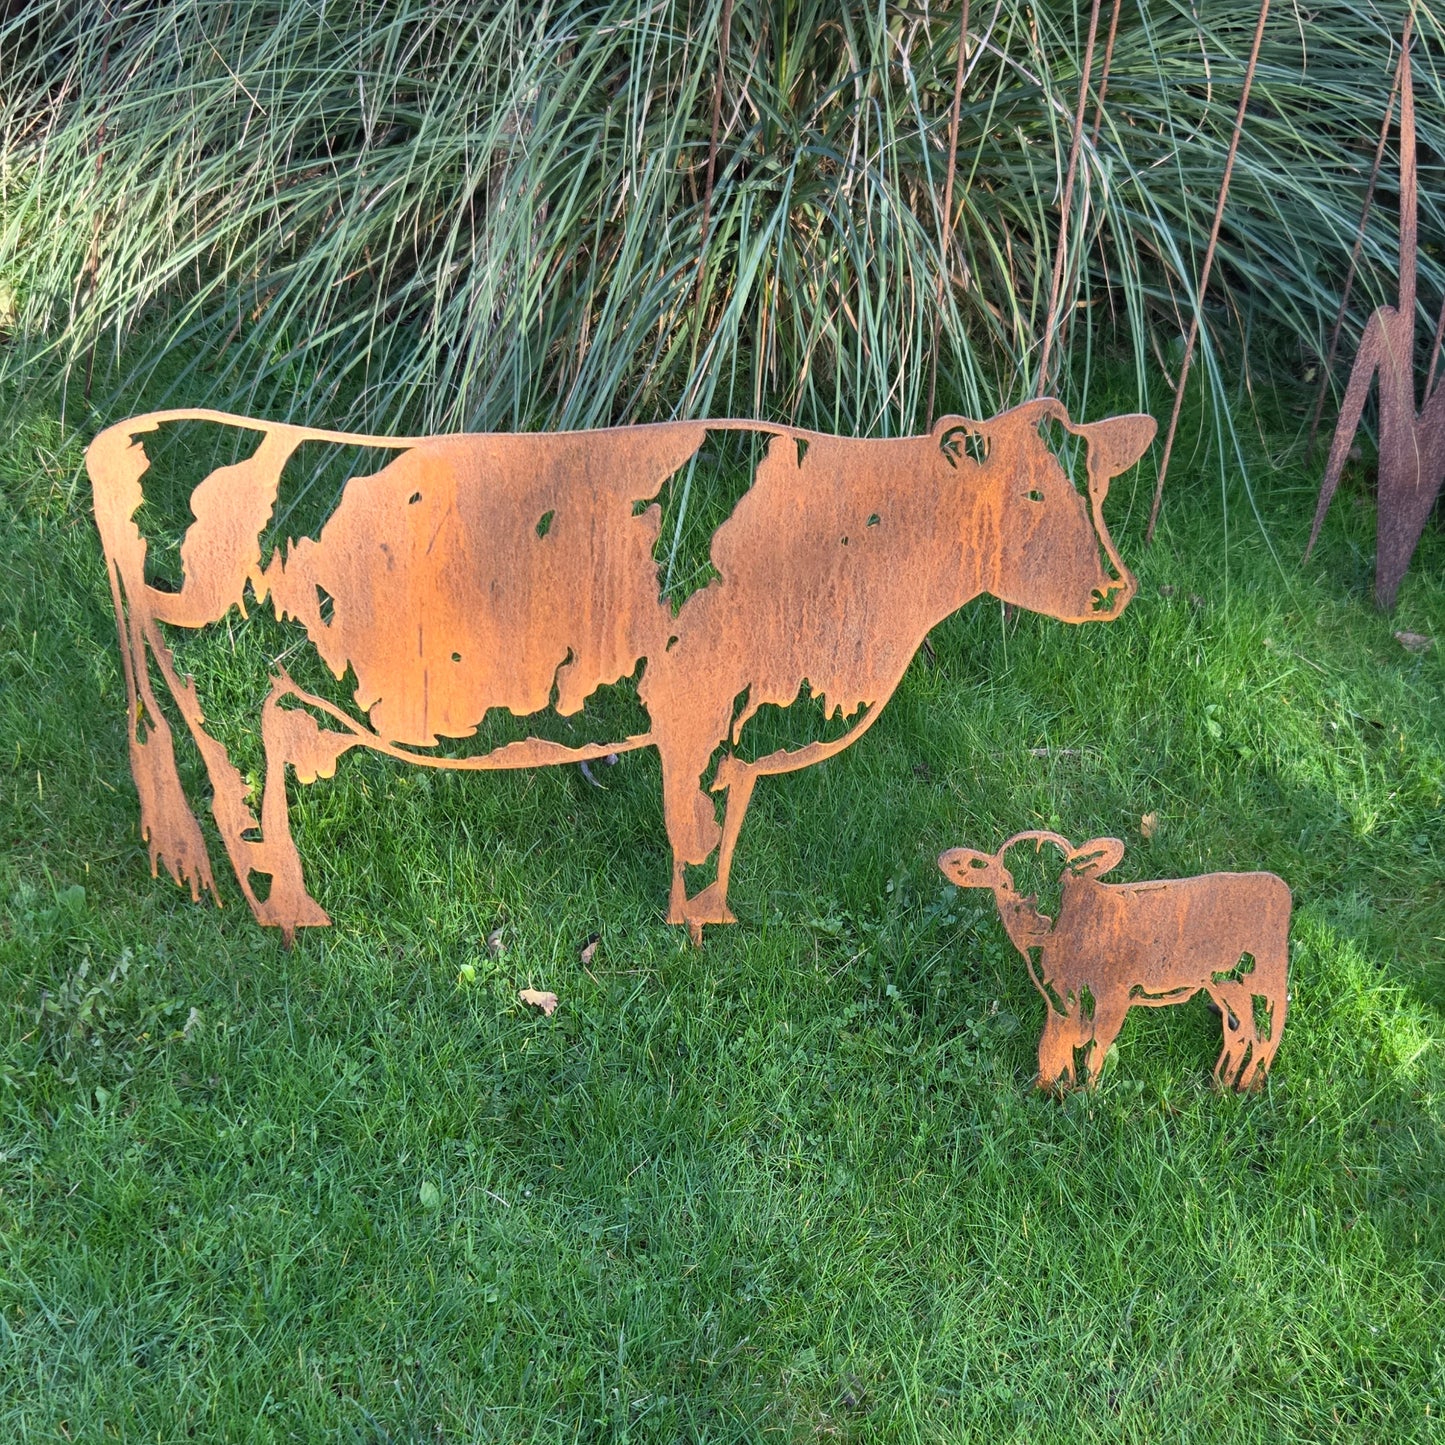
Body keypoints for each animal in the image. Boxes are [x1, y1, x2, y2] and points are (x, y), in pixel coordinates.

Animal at [87, 399, 1154, 944]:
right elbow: (693, 831)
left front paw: (714, 923)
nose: (1116, 589)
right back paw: (297, 921)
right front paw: (691, 937)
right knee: (239, 807)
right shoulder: (694, 707)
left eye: (1097, 488)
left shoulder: (744, 733)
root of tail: (122, 433)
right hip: (223, 684)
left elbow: (723, 830)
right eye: (1028, 494)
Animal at [939, 832, 1290, 1090]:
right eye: (1003, 883)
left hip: (1265, 979)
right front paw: (1051, 1089)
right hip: (1227, 983)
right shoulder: (1057, 997)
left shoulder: (1114, 996)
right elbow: (1055, 1042)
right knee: (1243, 1033)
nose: (1034, 917)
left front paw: (1088, 1096)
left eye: (1063, 880)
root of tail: (1276, 883)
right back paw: (1225, 1085)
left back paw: (1249, 1087)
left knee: (1268, 1035)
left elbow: (1095, 1048)